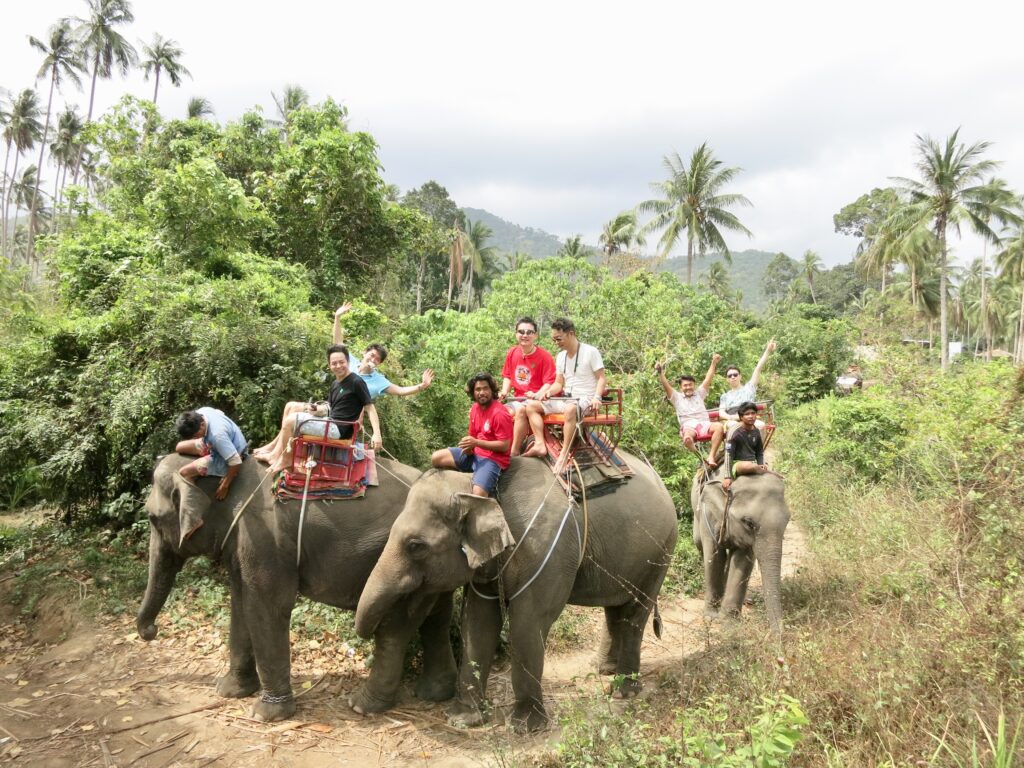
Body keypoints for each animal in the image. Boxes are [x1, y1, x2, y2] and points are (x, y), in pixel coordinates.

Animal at [138, 454, 458, 724]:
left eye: (152, 518)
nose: (151, 631)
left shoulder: (265, 541)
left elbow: (268, 607)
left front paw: (265, 715)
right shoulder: (244, 542)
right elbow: (240, 602)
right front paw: (228, 691)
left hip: (408, 561)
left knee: (396, 628)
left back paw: (363, 706)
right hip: (434, 570)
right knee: (437, 619)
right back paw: (435, 694)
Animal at [352, 454, 679, 737]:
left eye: (415, 546)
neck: (483, 489)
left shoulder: (546, 548)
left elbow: (527, 622)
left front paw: (524, 727)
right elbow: (478, 622)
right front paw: (464, 719)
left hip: (661, 550)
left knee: (636, 613)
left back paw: (623, 690)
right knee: (615, 607)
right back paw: (603, 670)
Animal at [688, 466, 790, 634]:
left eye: (788, 520)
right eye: (749, 523)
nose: (777, 635)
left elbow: (742, 561)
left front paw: (730, 624)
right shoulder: (708, 513)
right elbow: (714, 555)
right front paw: (711, 617)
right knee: (700, 544)